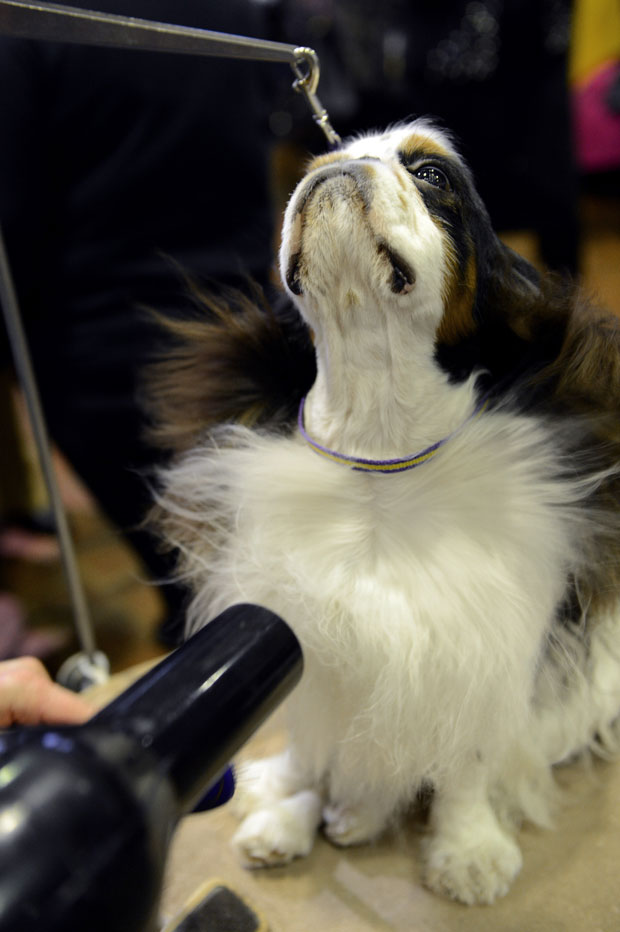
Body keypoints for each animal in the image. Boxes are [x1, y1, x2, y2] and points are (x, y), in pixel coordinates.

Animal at [149, 120, 620, 908]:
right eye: (321, 158)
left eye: (431, 173)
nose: (340, 163)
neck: (378, 443)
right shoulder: (300, 631)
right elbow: (312, 746)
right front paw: (287, 815)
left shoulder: (478, 644)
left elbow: (466, 763)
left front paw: (467, 853)